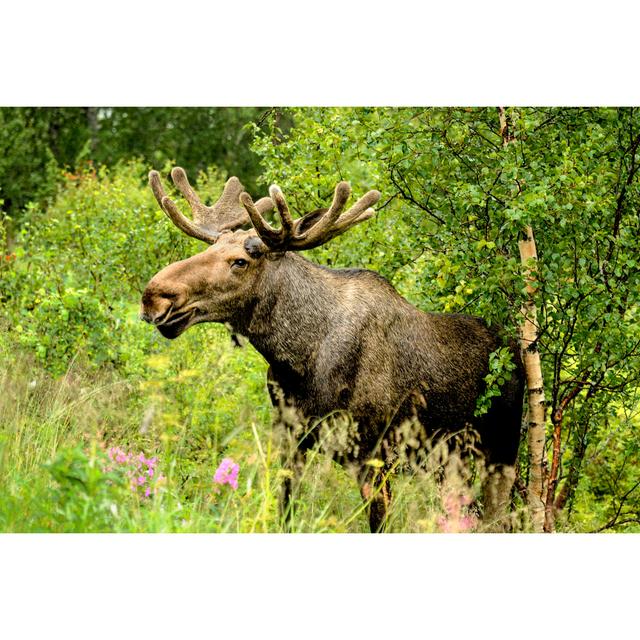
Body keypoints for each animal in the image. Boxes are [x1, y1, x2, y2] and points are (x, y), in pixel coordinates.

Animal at [141, 168, 524, 532]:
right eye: (208, 249)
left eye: (240, 261)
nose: (154, 295)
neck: (297, 360)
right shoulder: (291, 439)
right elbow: (286, 514)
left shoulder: (374, 455)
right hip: (448, 463)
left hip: (500, 453)